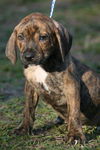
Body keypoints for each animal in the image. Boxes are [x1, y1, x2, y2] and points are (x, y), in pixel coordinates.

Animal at [5, 12, 100, 144]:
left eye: (43, 37)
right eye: (20, 37)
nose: (28, 56)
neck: (42, 65)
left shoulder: (71, 86)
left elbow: (74, 111)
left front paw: (75, 135)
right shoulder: (30, 87)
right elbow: (28, 109)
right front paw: (23, 129)